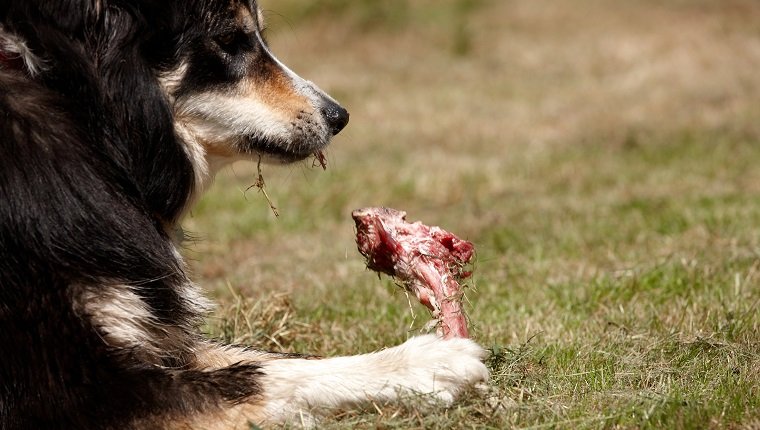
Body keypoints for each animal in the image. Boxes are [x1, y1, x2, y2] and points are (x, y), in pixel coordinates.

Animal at [0, 1, 486, 428]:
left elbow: (269, 357)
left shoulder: (157, 335)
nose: (340, 116)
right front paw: (430, 362)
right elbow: (255, 378)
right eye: (230, 41)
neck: (81, 112)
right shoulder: (73, 390)